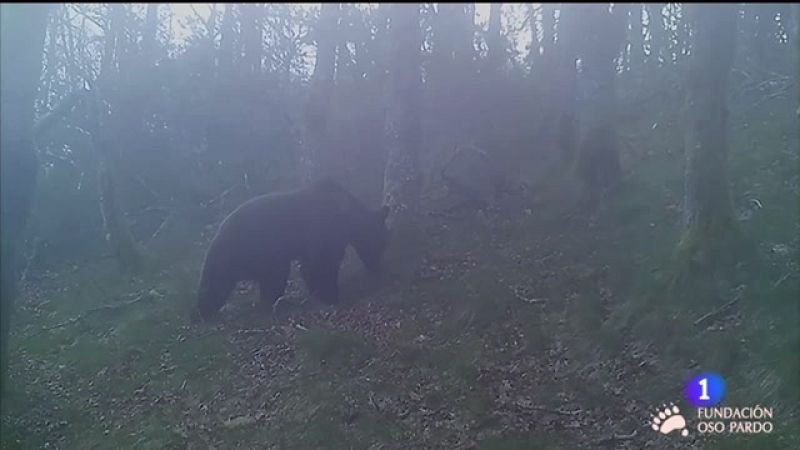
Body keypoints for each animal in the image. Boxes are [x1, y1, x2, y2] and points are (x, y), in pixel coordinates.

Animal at [196, 179, 389, 320]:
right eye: (381, 243)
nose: (376, 267)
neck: (347, 218)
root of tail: (218, 231)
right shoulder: (322, 229)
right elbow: (320, 263)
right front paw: (330, 295)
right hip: (246, 250)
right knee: (217, 283)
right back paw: (203, 313)